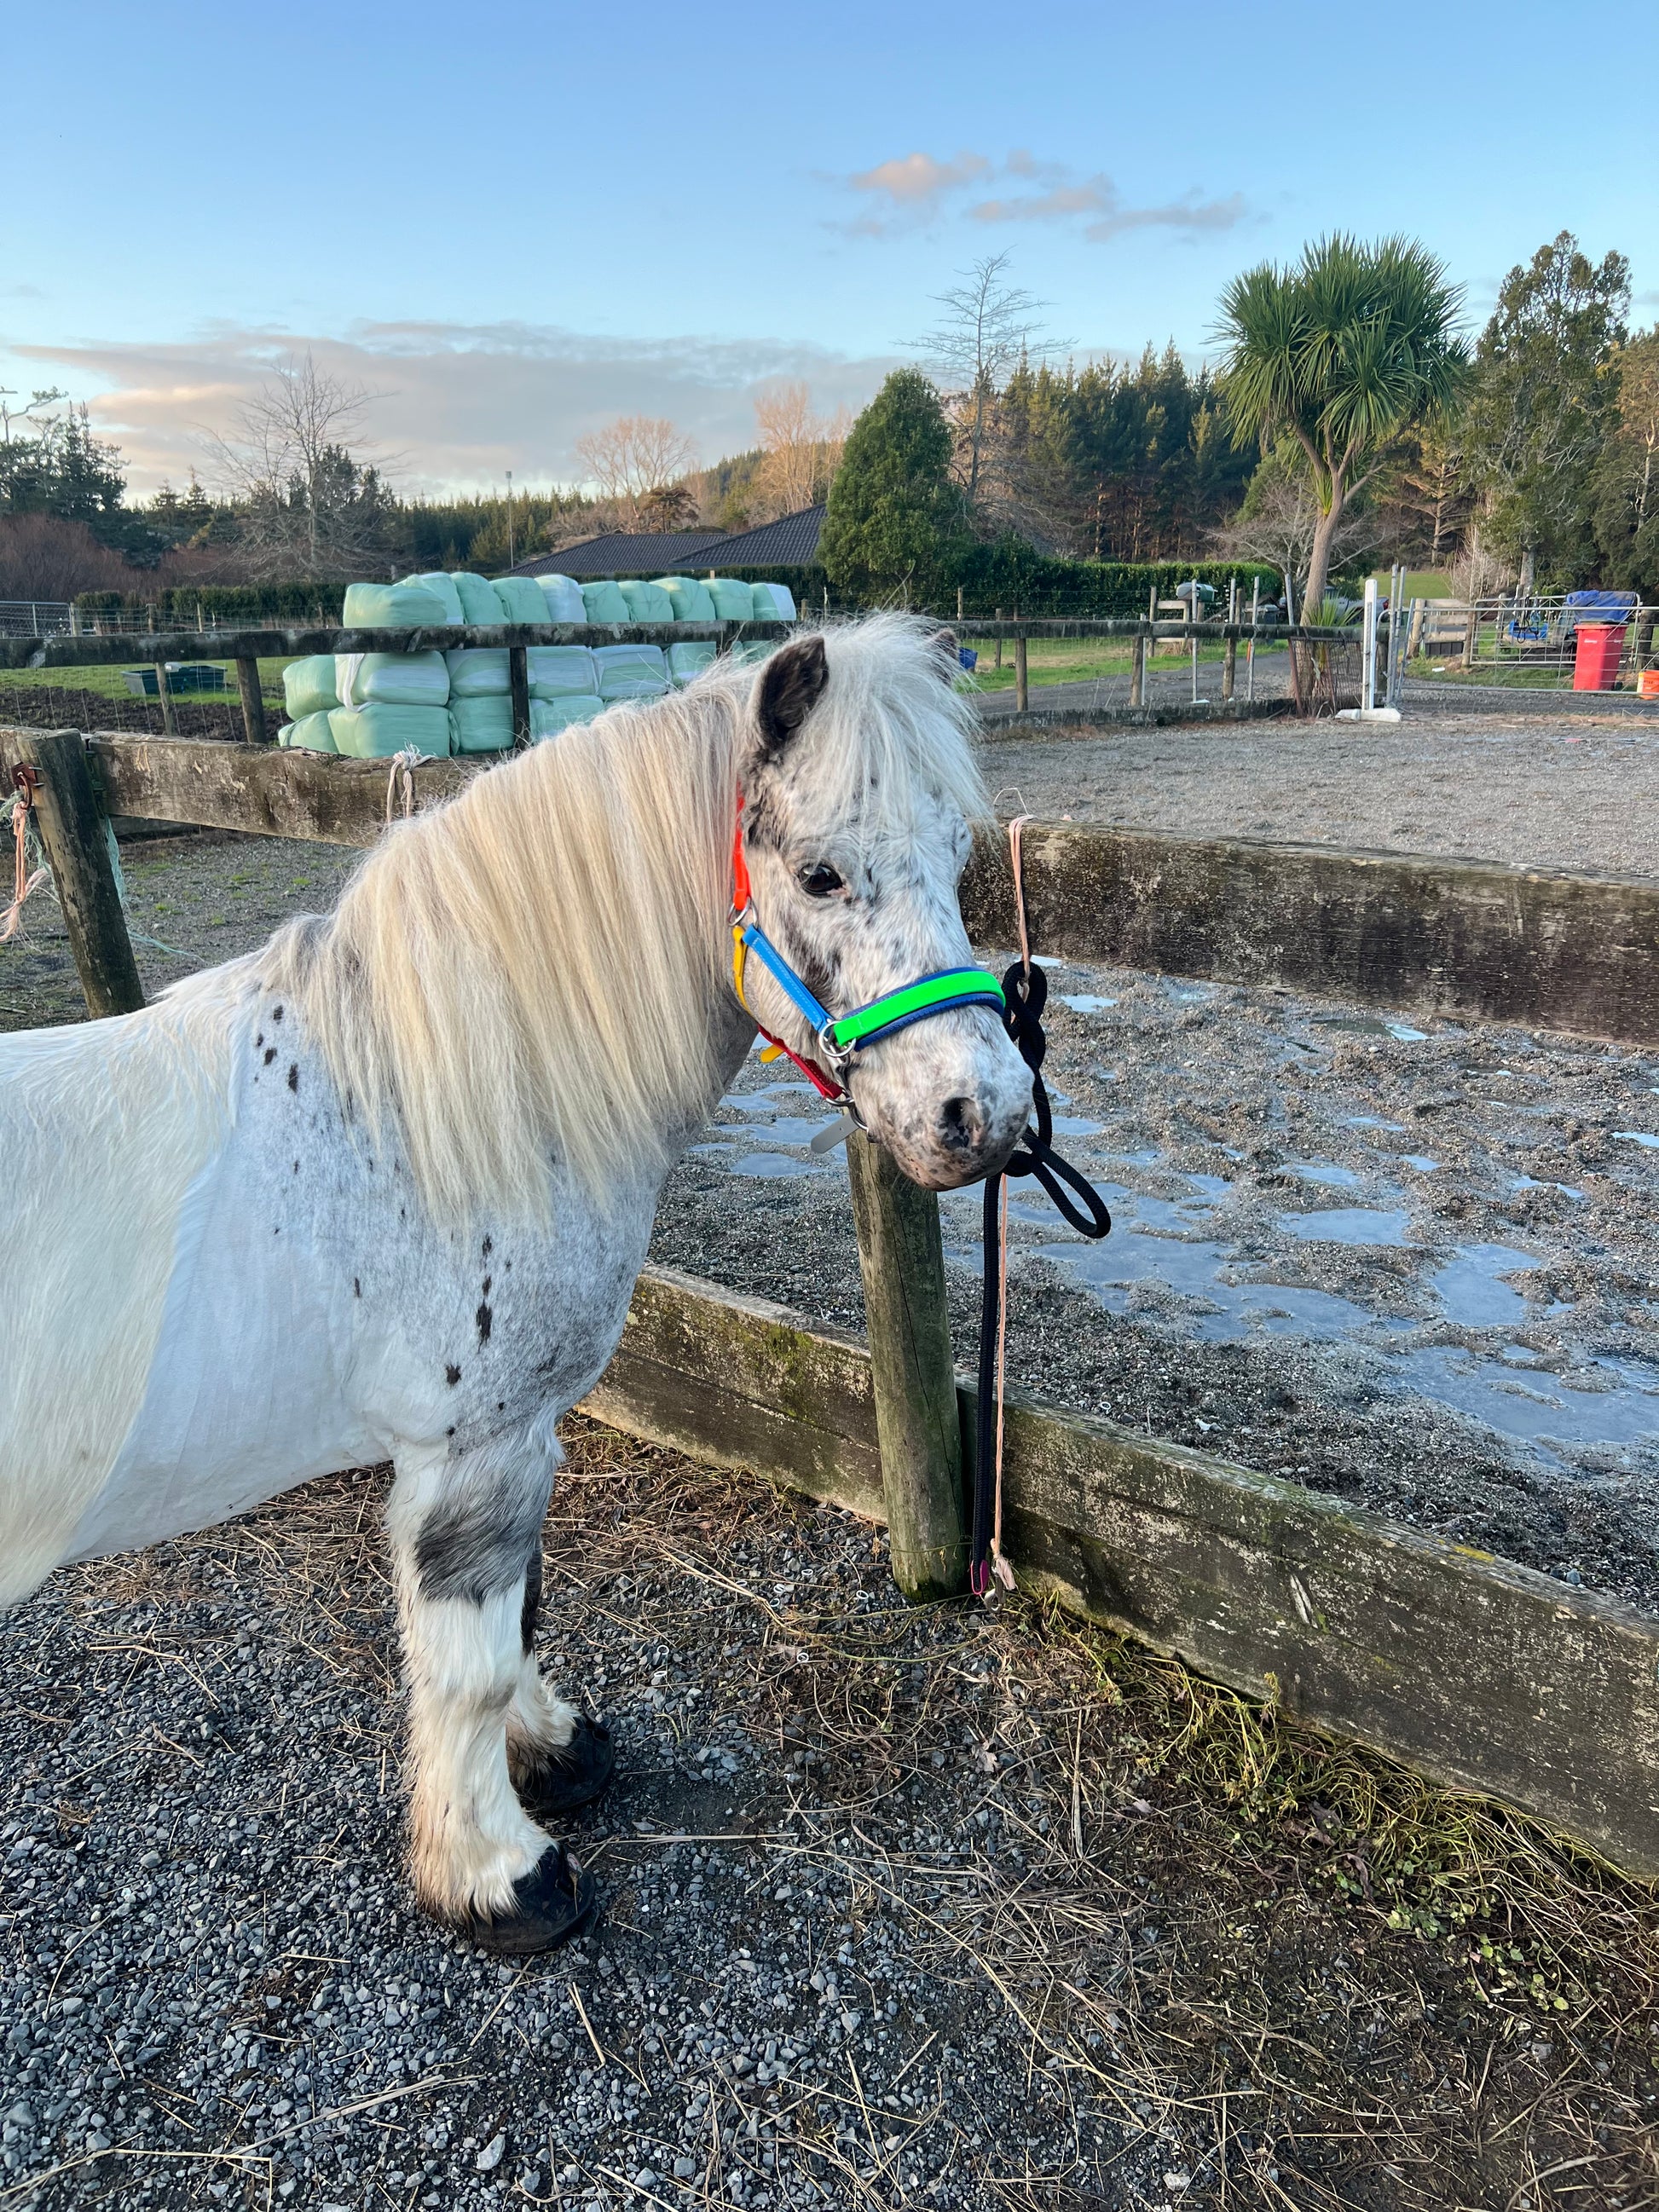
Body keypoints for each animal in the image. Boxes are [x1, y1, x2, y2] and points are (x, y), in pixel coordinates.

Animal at [0, 617, 1033, 1954]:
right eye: (818, 874)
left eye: (957, 859)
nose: (985, 1116)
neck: (405, 1112)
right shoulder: (472, 1449)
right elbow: (471, 1656)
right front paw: (499, 1871)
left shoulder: (518, 1436)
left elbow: (517, 1618)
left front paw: (550, 1749)